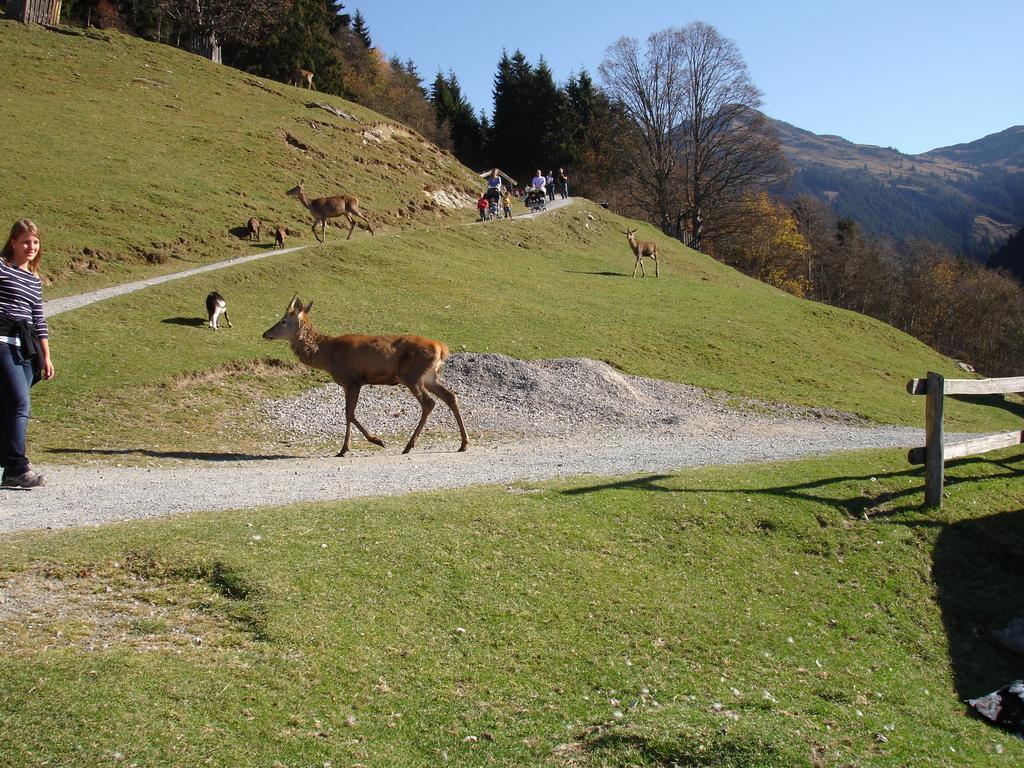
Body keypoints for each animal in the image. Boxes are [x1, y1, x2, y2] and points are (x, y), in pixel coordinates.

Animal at [264, 296, 471, 456]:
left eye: (283, 321)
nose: (265, 333)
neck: (328, 356)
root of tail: (442, 348)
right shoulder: (349, 383)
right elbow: (348, 413)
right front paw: (348, 447)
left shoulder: (353, 379)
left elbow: (349, 413)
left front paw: (368, 442)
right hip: (429, 376)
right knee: (450, 396)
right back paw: (463, 443)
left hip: (412, 374)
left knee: (429, 402)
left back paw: (409, 445)